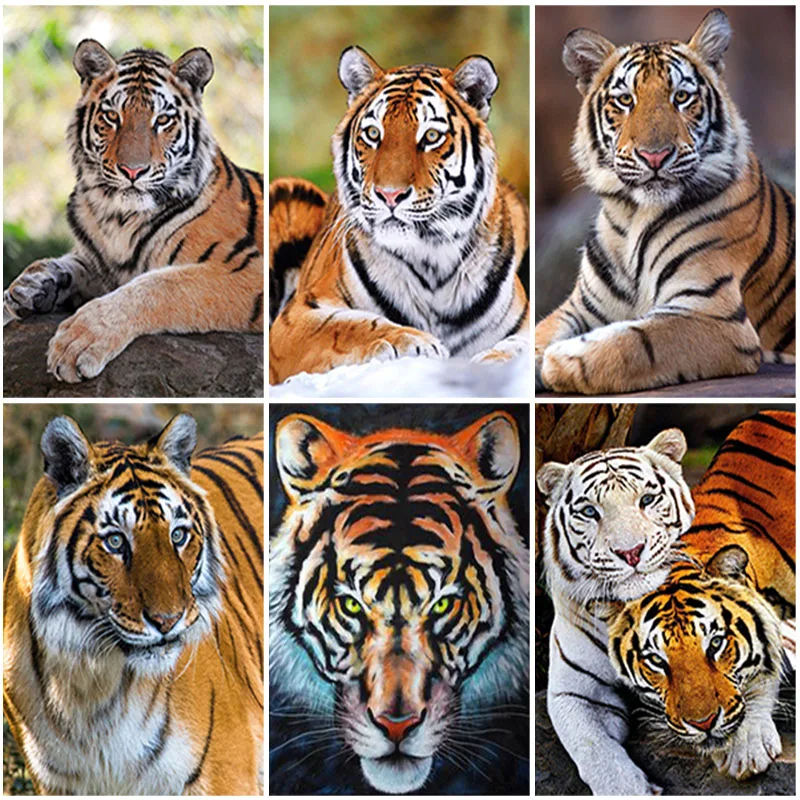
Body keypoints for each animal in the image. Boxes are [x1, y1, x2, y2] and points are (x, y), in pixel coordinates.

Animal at [3, 40, 264, 384]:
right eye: (112, 117)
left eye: (162, 120)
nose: (132, 170)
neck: (118, 218)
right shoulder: (100, 263)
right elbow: (68, 264)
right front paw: (30, 286)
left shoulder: (246, 269)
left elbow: (159, 285)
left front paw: (77, 342)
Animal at [268, 46, 529, 384]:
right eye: (372, 133)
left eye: (431, 136)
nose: (389, 195)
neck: (433, 260)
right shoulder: (293, 319)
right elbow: (348, 326)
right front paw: (413, 340)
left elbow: (526, 344)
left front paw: (495, 359)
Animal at [535, 9, 795, 394]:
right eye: (625, 100)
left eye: (682, 97)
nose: (654, 156)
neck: (632, 216)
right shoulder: (581, 307)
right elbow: (530, 336)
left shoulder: (711, 313)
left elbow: (634, 340)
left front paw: (559, 360)